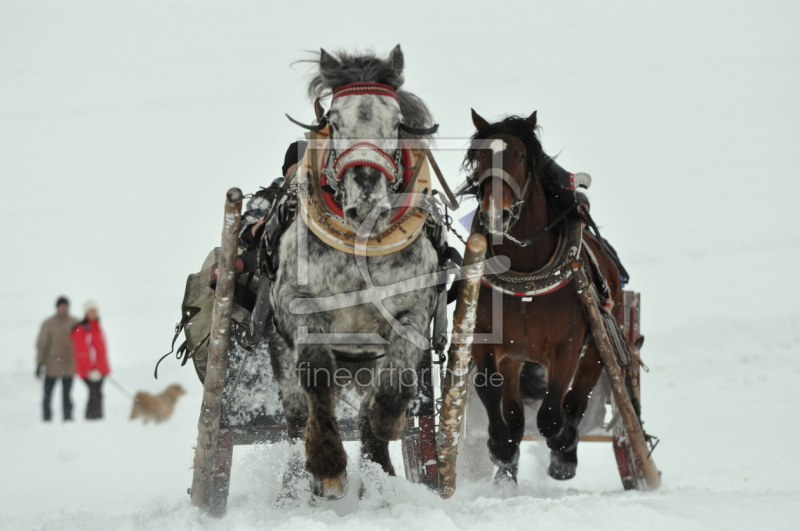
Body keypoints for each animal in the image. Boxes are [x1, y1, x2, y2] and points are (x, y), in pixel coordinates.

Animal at [462, 110, 624, 484]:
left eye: (521, 156)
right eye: (479, 156)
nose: (497, 215)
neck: (526, 279)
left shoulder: (566, 348)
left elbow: (552, 414)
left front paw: (563, 448)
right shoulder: (488, 342)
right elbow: (491, 393)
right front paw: (501, 449)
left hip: (598, 347)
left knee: (576, 399)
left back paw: (566, 451)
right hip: (516, 359)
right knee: (516, 412)